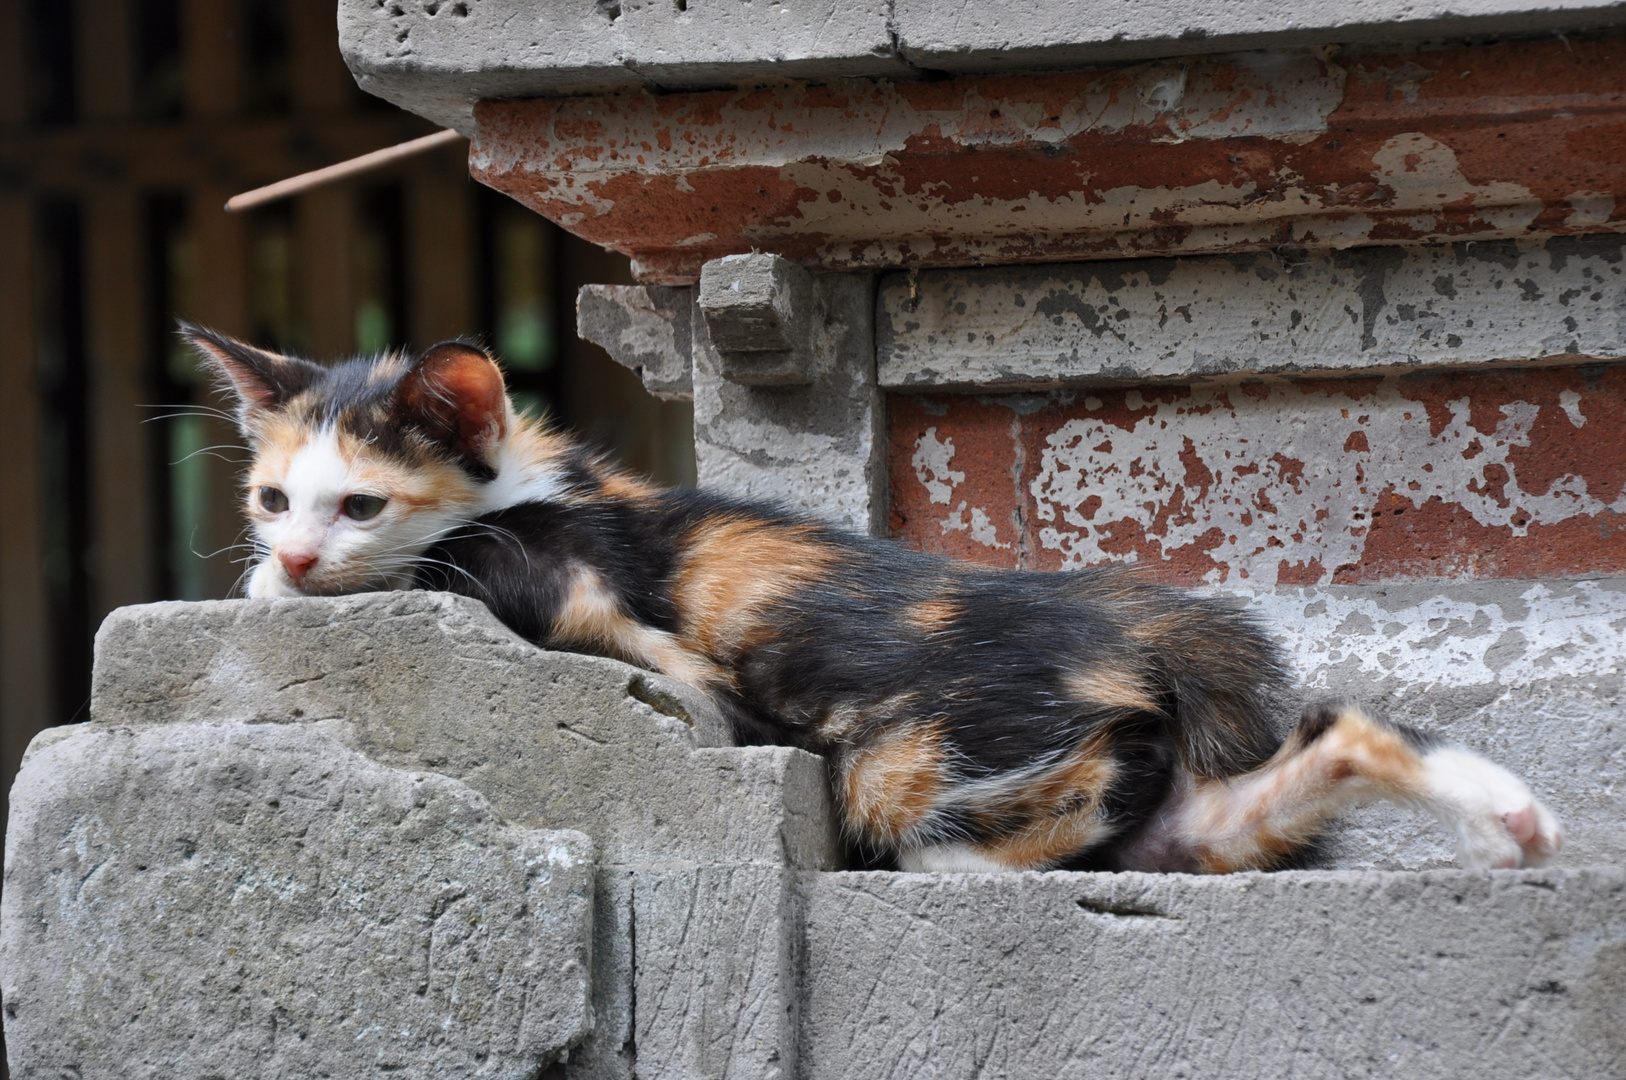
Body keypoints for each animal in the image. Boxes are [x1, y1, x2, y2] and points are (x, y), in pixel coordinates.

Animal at [186, 325, 1560, 871]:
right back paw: (1514, 822)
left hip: (913, 758)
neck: (532, 484)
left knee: (1054, 794)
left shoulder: (567, 579)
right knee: (1329, 738)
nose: (292, 554)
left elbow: (489, 584)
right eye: (272, 495)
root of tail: (1135, 632)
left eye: (359, 505)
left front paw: (275, 592)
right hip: (1208, 823)